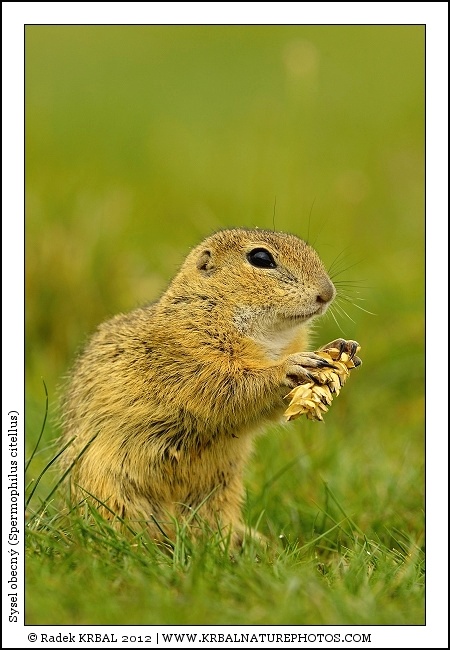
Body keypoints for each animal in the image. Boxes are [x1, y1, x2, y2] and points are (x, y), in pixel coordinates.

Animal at [61, 228, 359, 548]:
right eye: (261, 258)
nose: (327, 293)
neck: (269, 338)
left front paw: (343, 348)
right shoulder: (192, 354)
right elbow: (231, 387)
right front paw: (290, 367)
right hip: (112, 493)